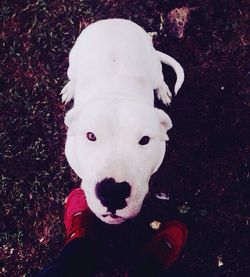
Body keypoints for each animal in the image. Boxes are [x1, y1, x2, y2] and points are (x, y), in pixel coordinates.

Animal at [61, 18, 185, 223]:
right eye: (90, 135)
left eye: (145, 140)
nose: (112, 192)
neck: (116, 92)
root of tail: (113, 21)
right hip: (73, 63)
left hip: (154, 68)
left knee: (159, 80)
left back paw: (163, 90)